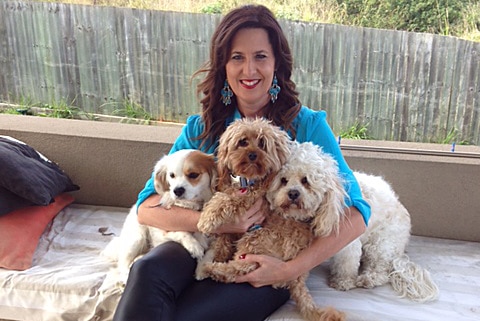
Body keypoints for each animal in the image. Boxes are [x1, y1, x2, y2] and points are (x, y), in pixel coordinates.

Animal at [106, 149, 218, 284]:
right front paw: (194, 246)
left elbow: (211, 252)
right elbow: (182, 232)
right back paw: (125, 277)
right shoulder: (163, 231)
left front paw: (202, 268)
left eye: (193, 175)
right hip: (137, 239)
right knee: (122, 266)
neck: (192, 205)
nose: (177, 190)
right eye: (172, 175)